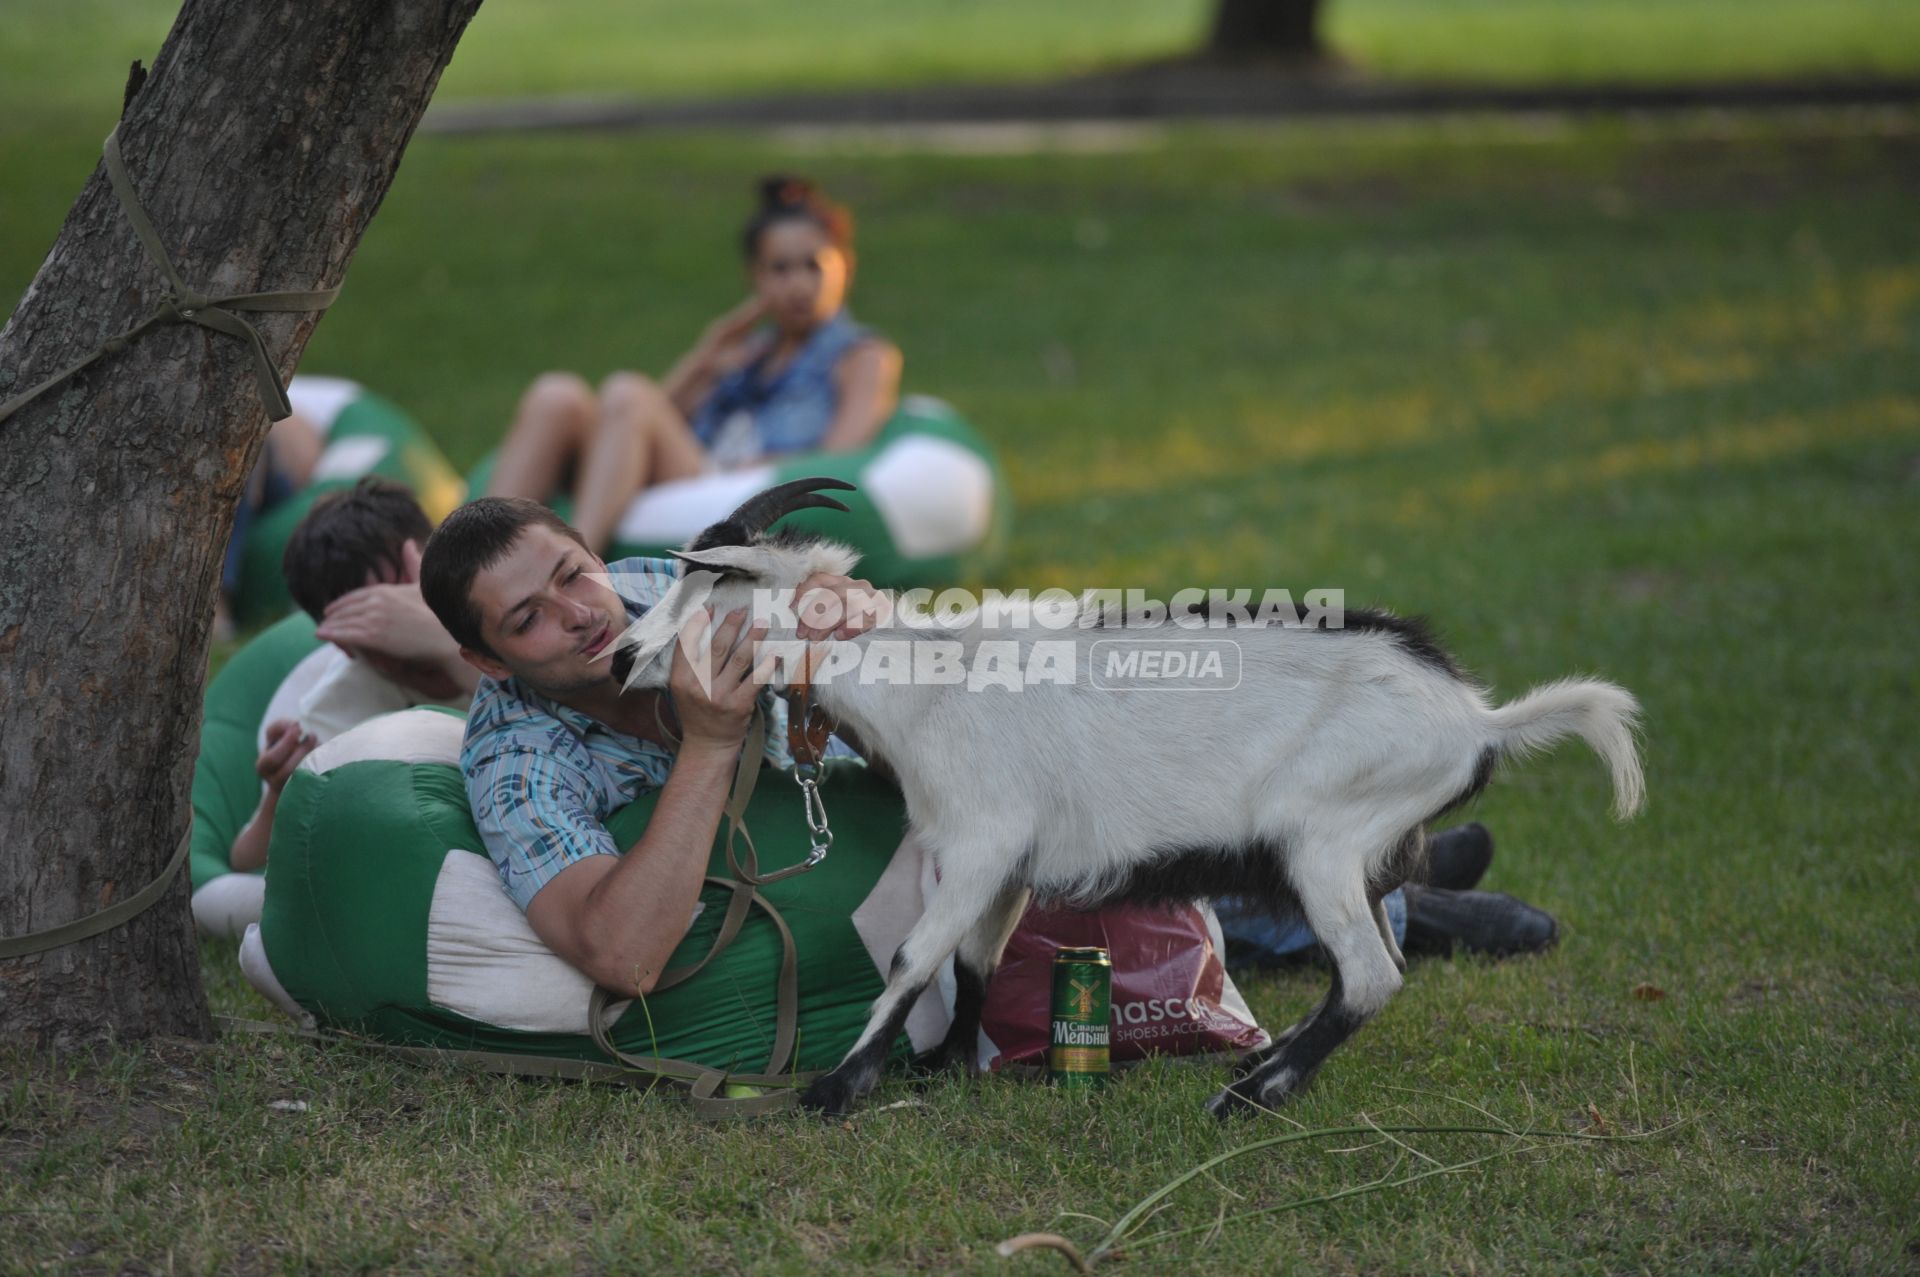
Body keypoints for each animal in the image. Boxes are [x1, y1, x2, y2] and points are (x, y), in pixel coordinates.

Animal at [606, 478, 1643, 1113]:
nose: (618, 657)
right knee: (1370, 966)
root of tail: (1479, 720)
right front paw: (942, 1068)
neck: (927, 684)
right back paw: (1258, 1066)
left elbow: (909, 957)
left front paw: (837, 1089)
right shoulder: (1007, 863)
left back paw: (1252, 1094)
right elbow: (973, 963)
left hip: (1325, 841)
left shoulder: (980, 838)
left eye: (702, 592)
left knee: (1371, 973)